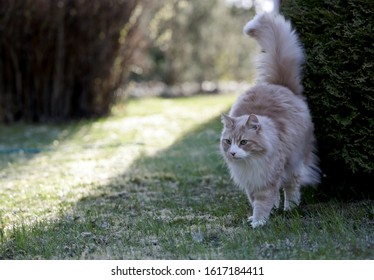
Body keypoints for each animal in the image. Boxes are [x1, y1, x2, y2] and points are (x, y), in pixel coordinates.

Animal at [221, 3, 320, 229]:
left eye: (244, 142)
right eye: (228, 142)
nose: (233, 153)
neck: (250, 163)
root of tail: (280, 85)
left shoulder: (268, 179)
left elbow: (263, 201)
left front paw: (258, 222)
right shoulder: (251, 183)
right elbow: (256, 199)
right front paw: (259, 216)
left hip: (294, 163)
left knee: (292, 187)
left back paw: (290, 208)